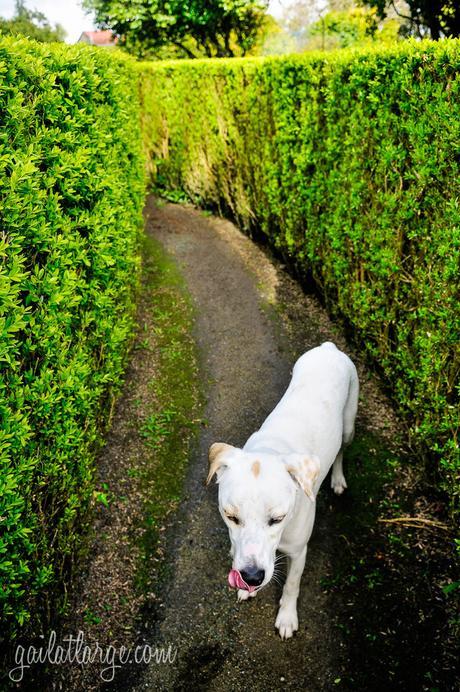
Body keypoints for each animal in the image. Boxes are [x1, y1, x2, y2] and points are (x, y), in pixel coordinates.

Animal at [206, 344, 360, 640]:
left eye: (278, 518)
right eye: (231, 517)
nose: (252, 577)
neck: (272, 449)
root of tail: (328, 347)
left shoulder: (299, 552)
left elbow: (291, 585)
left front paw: (287, 617)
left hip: (348, 424)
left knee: (341, 451)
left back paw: (337, 478)